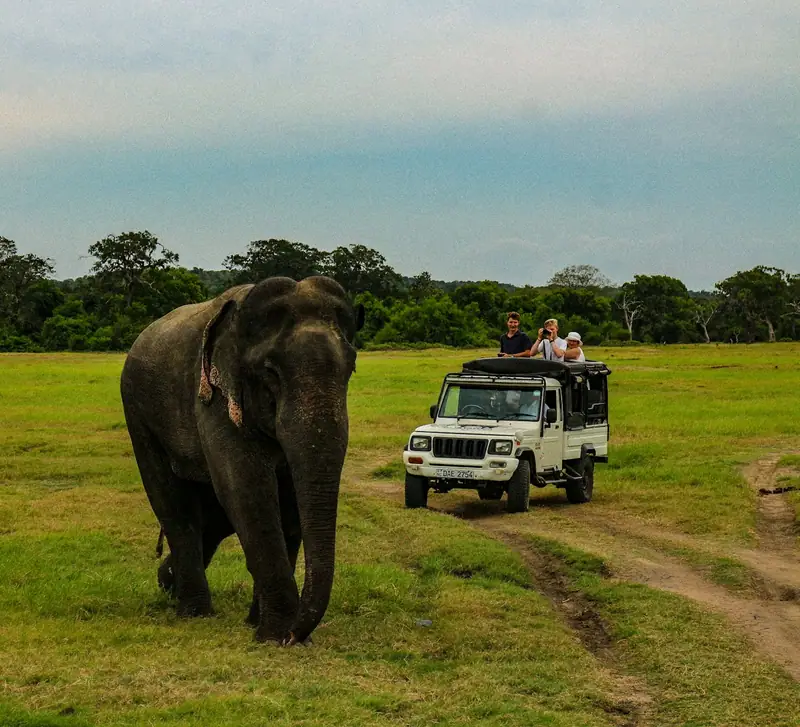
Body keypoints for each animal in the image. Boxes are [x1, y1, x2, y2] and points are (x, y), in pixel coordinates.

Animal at [120, 276, 364, 645]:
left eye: (351, 368)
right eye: (271, 372)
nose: (296, 635)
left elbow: (287, 497)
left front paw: (265, 626)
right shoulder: (215, 397)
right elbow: (246, 487)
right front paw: (275, 635)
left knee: (211, 518)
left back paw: (169, 584)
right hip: (138, 413)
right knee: (174, 505)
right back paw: (193, 611)